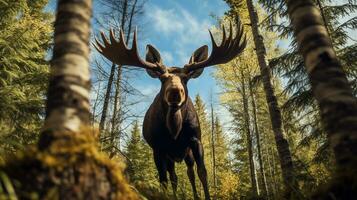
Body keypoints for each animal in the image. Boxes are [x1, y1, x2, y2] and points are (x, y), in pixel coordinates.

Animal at [94, 21, 245, 199]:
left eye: (186, 79)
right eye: (162, 78)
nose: (175, 91)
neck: (174, 130)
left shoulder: (195, 139)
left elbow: (202, 172)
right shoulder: (158, 147)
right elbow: (163, 179)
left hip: (186, 154)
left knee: (190, 173)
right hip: (170, 156)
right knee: (173, 177)